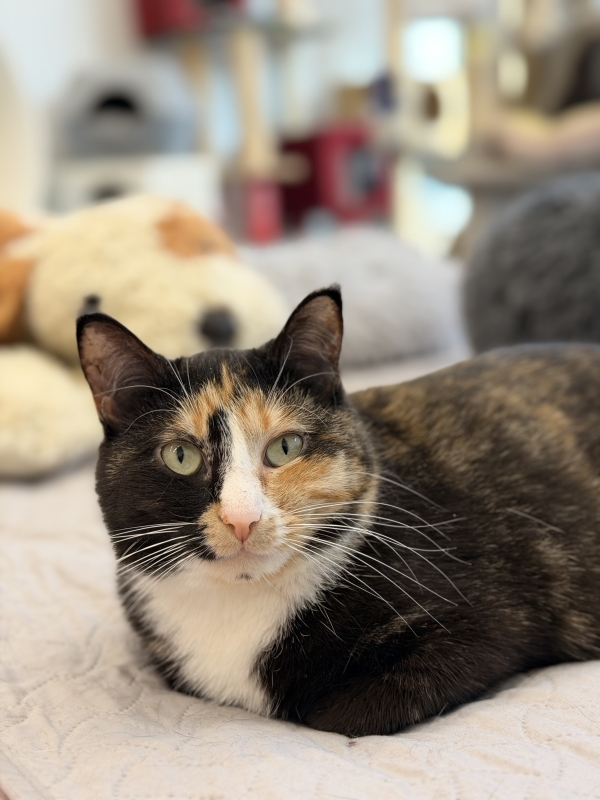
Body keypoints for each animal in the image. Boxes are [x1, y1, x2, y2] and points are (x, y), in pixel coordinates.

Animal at [77, 286, 600, 737]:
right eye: (181, 456)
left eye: (285, 447)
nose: (241, 518)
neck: (238, 606)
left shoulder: (488, 620)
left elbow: (334, 715)